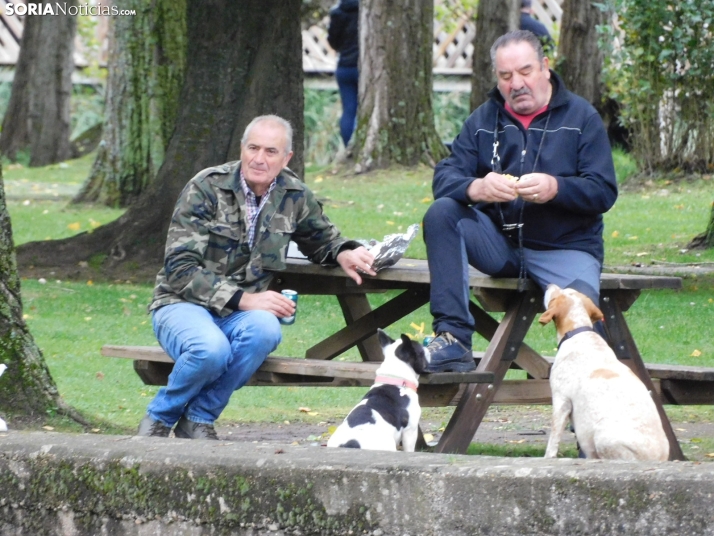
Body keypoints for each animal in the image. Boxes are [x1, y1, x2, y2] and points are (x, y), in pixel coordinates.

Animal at [540, 284, 668, 460]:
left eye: (556, 294)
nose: (548, 285)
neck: (579, 331)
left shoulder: (561, 400)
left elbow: (552, 442)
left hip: (603, 436)